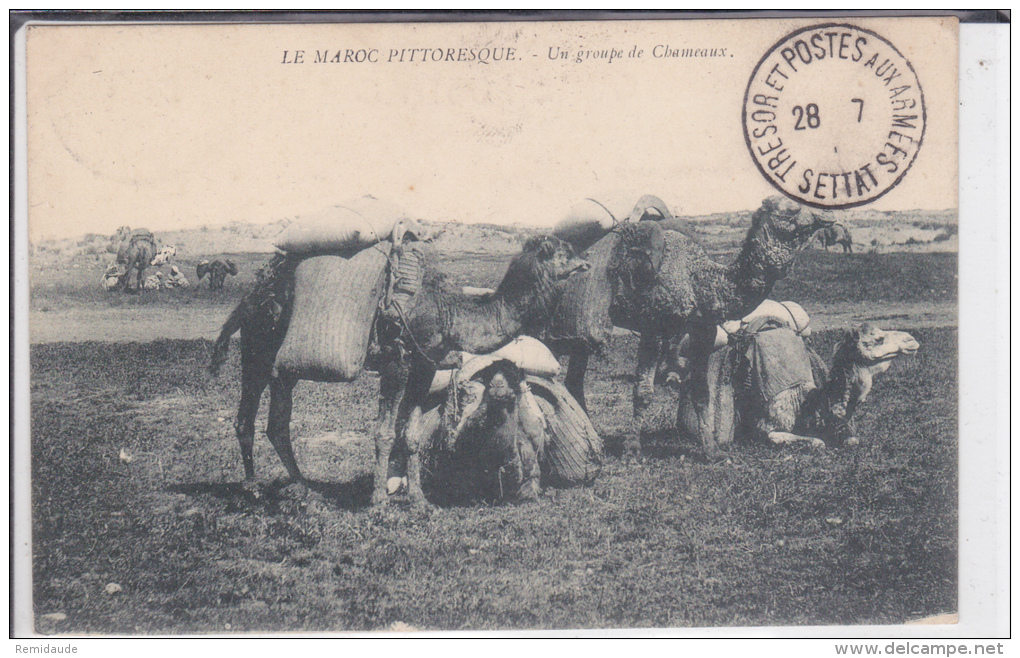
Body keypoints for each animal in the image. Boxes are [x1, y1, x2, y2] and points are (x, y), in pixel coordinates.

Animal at [554, 194, 832, 457]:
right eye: (792, 209)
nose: (825, 217)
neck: (698, 281)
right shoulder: (654, 329)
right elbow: (643, 392)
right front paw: (632, 449)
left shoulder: (702, 331)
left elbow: (701, 392)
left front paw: (711, 450)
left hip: (578, 335)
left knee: (575, 373)